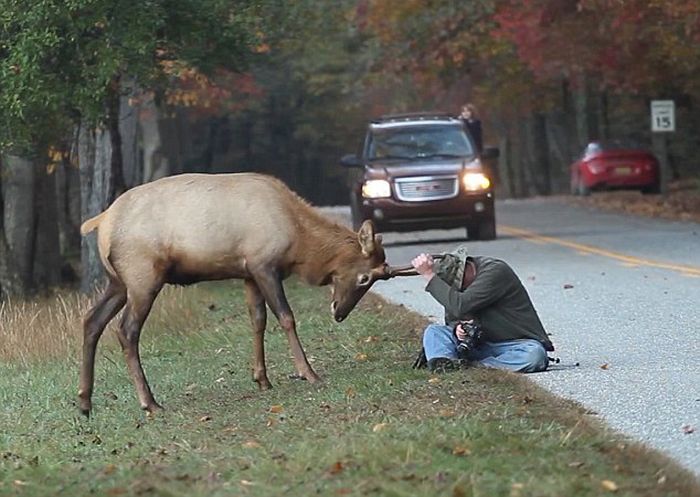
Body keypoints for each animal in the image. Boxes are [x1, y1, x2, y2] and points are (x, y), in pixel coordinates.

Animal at [78, 172, 412, 412]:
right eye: (364, 278)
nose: (339, 312)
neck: (300, 243)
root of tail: (100, 222)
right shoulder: (264, 264)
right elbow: (286, 317)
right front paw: (309, 373)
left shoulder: (249, 273)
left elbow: (257, 320)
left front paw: (262, 378)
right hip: (143, 277)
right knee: (126, 330)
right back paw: (149, 402)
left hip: (118, 282)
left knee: (92, 321)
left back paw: (85, 401)